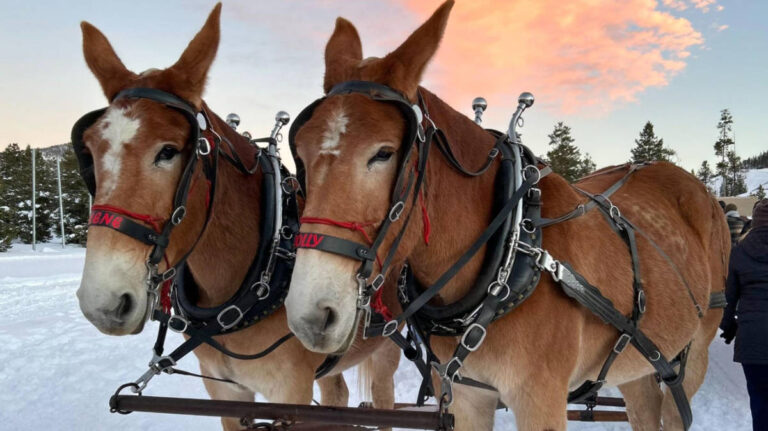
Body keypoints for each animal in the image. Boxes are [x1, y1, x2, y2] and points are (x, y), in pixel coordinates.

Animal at [73, 5, 400, 430]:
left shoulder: (290, 394)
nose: (103, 303)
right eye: (90, 150)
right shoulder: (224, 391)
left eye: (168, 151)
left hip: (387, 348)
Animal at [283, 1, 730, 430]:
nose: (311, 316)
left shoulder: (541, 400)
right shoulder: (467, 396)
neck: (512, 249)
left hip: (695, 351)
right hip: (638, 362)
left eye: (384, 153)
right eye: (299, 152)